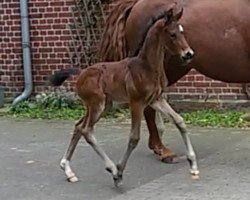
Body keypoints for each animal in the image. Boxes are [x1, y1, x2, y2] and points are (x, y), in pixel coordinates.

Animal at [49, 4, 199, 187]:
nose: (188, 54)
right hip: (97, 104)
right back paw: (112, 169)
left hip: (104, 105)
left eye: (182, 31)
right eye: (172, 34)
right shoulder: (136, 103)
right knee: (86, 130)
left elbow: (179, 121)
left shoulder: (156, 99)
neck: (146, 67)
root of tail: (81, 73)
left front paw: (193, 164)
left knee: (79, 126)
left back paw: (68, 170)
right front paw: (119, 171)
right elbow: (134, 137)